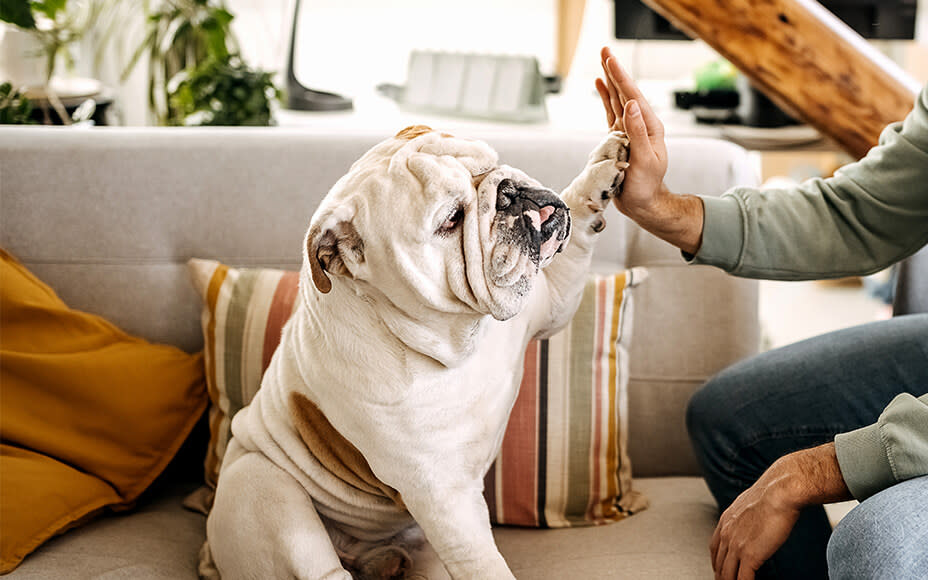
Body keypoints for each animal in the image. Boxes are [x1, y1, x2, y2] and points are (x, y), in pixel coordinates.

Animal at [206, 127, 628, 580]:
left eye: (488, 163)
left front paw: (601, 170)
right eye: (451, 220)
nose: (508, 193)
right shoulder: (444, 499)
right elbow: (483, 564)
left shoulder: (551, 303)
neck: (454, 335)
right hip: (263, 493)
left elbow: (578, 234)